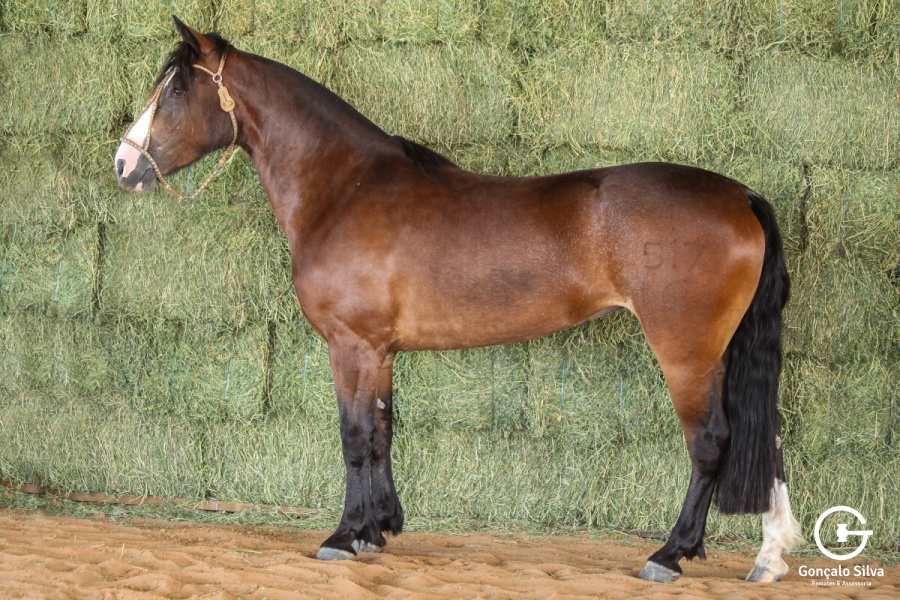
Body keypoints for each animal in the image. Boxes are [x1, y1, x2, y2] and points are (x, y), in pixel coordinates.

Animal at [114, 17, 803, 583]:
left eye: (173, 92)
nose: (125, 166)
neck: (346, 187)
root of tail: (740, 194)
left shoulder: (351, 345)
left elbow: (354, 435)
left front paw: (344, 536)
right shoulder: (381, 351)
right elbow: (383, 431)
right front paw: (379, 529)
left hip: (686, 352)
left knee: (711, 442)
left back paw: (670, 553)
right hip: (722, 352)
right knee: (765, 441)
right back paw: (759, 556)